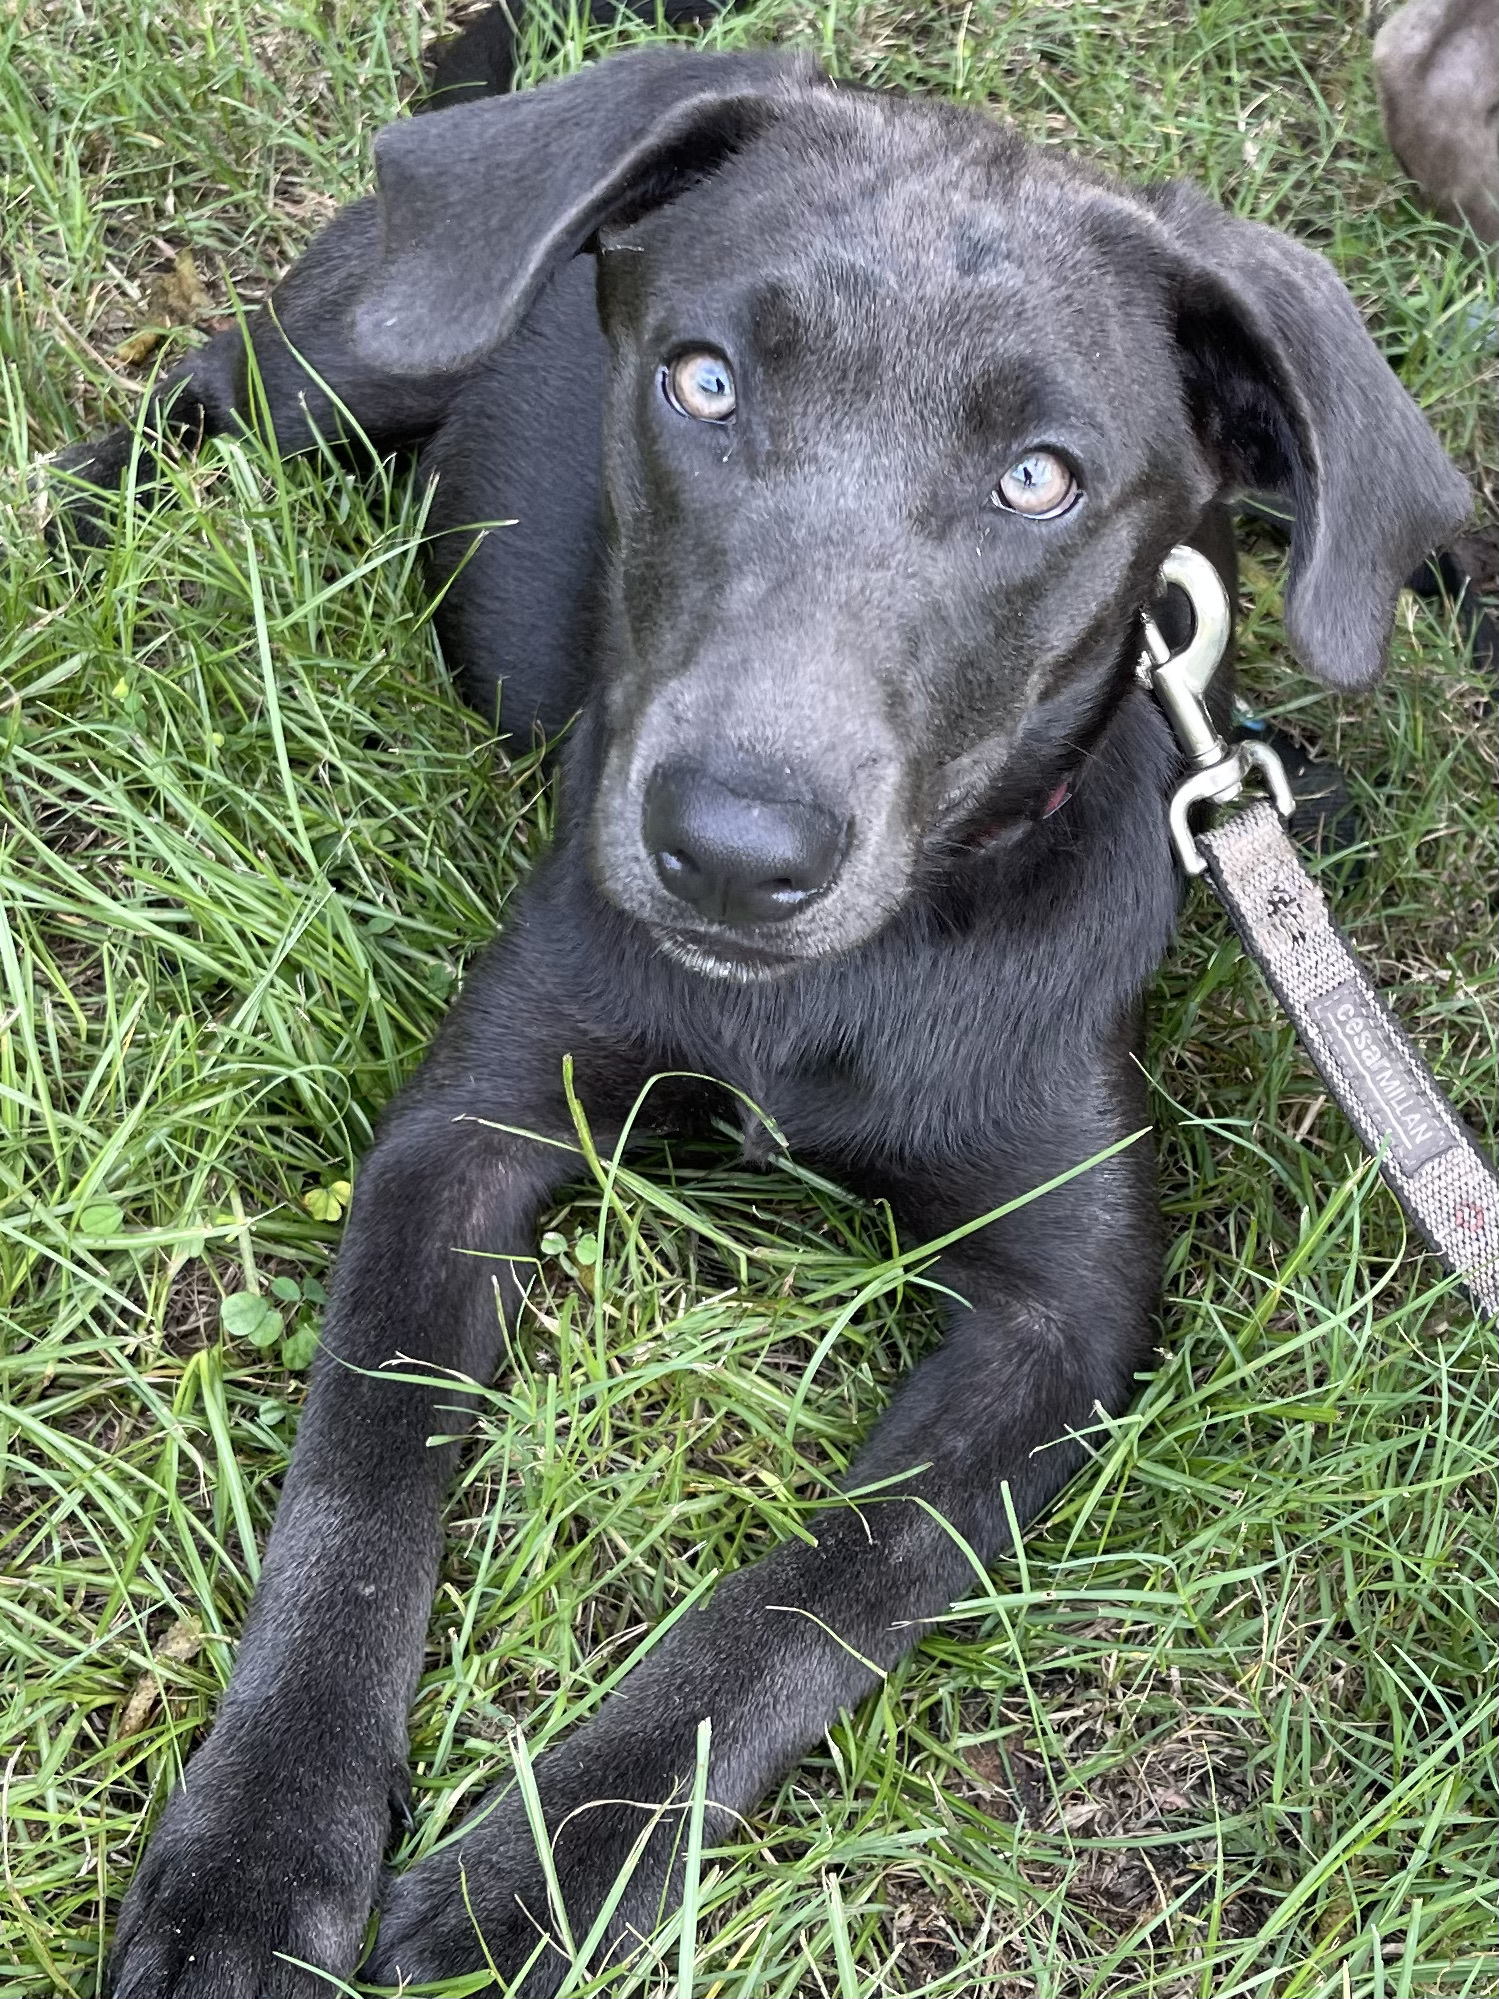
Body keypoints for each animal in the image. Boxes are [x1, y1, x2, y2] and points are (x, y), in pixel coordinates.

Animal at [67, 19, 1471, 1999]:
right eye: (703, 380)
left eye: (1039, 479)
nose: (732, 853)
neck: (830, 987)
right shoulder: (465, 1127)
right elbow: (359, 1473)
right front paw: (257, 1854)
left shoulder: (1063, 1316)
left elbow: (819, 1586)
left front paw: (554, 1859)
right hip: (346, 357)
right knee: (203, 392)